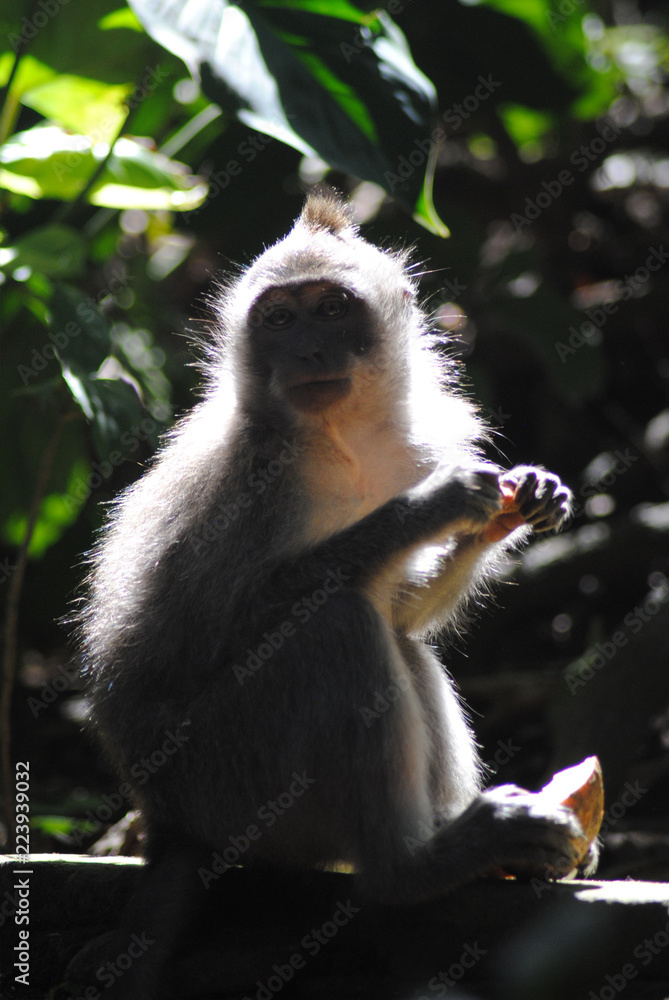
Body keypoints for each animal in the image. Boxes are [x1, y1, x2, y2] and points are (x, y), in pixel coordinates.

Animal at [74, 188, 588, 996]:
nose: (308, 352)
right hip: (233, 779)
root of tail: (170, 828)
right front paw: (431, 507)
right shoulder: (254, 479)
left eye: (331, 309)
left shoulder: (410, 444)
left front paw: (519, 501)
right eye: (280, 320)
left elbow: (402, 610)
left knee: (393, 640)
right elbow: (222, 629)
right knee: (332, 625)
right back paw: (409, 870)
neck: (340, 436)